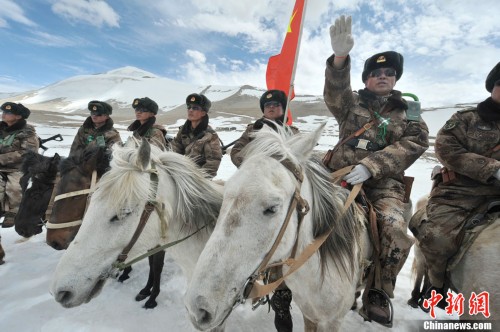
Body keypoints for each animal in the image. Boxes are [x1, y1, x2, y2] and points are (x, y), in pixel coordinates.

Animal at [50, 141, 225, 332]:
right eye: (91, 198)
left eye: (124, 213)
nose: (61, 291)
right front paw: (145, 290)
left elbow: (155, 267)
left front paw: (151, 298)